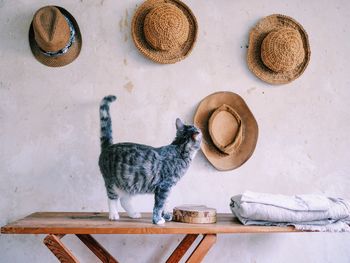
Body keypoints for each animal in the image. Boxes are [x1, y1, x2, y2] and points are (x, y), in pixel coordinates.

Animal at [98, 95, 202, 225]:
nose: (201, 131)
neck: (179, 149)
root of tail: (108, 147)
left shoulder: (168, 188)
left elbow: (165, 203)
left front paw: (165, 215)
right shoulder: (164, 186)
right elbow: (159, 205)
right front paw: (158, 220)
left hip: (129, 182)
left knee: (124, 200)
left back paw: (134, 214)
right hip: (112, 182)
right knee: (112, 198)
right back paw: (113, 215)